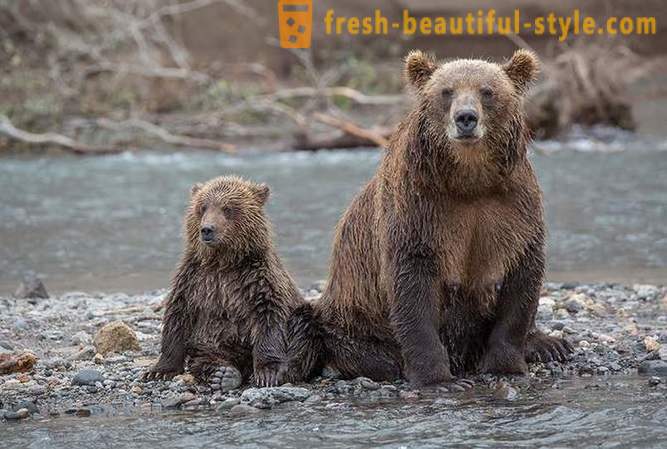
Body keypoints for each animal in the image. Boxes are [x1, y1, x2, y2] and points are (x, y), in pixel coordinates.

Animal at [316, 49, 572, 384]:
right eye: (446, 91)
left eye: (487, 91)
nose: (466, 118)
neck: (469, 179)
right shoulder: (419, 209)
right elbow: (413, 284)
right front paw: (435, 376)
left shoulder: (514, 208)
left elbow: (521, 276)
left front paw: (506, 363)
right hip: (356, 319)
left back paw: (550, 344)